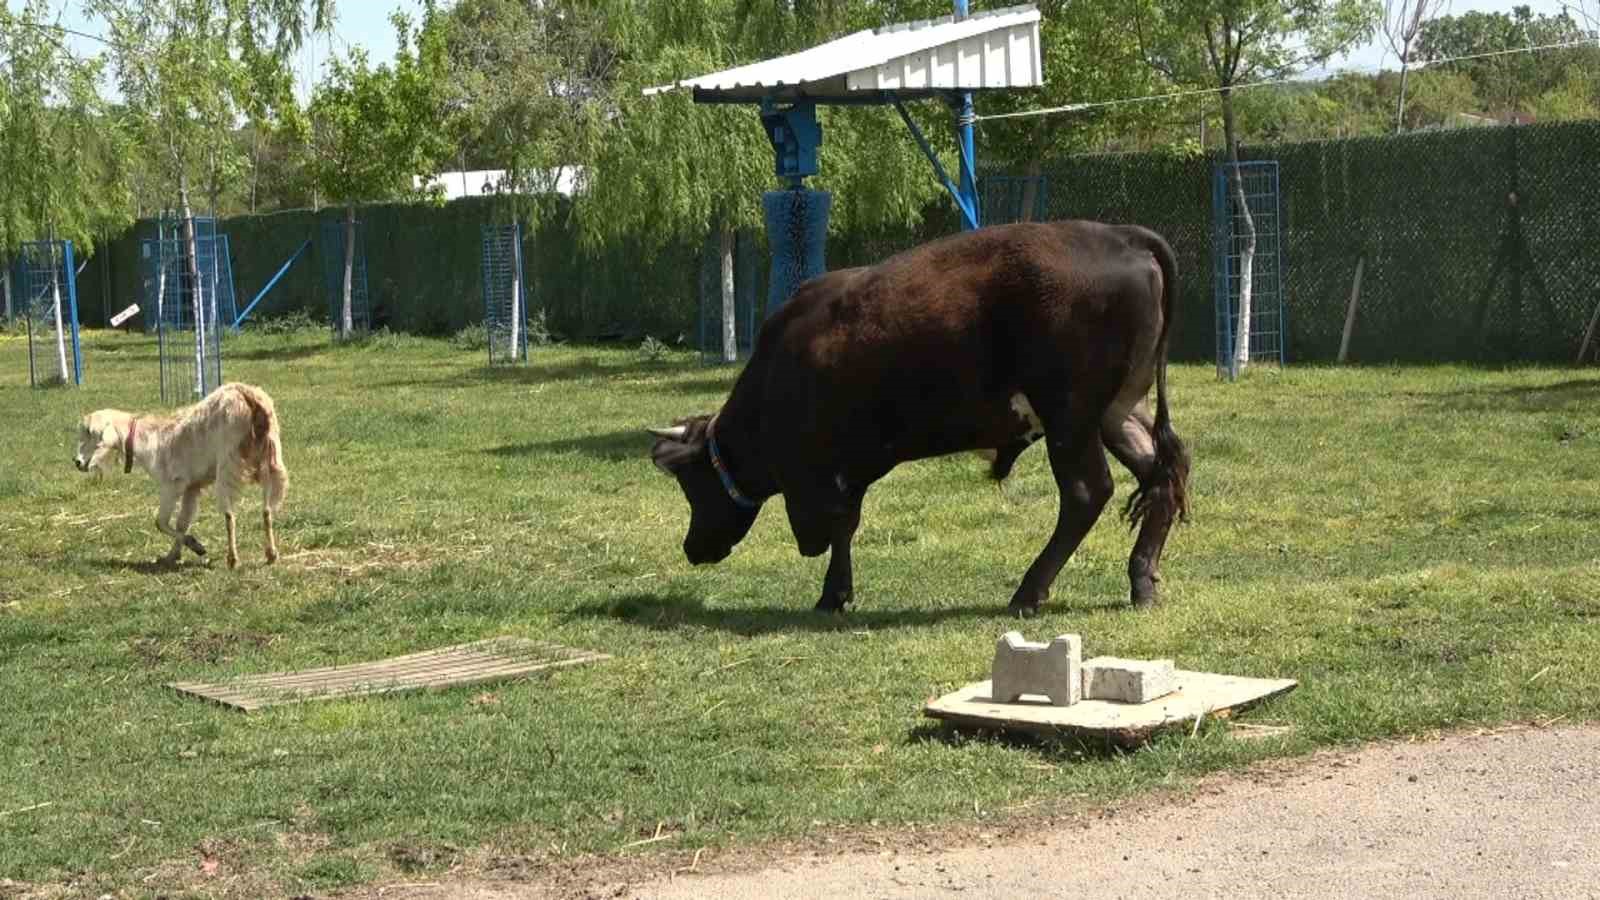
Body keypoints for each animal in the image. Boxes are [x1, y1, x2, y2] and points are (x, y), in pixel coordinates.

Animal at [75, 379, 291, 563]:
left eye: (90, 433)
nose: (77, 462)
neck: (152, 439)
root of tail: (248, 397)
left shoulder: (172, 484)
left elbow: (160, 522)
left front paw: (196, 545)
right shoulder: (192, 487)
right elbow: (182, 522)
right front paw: (173, 555)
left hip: (227, 466)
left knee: (230, 515)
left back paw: (232, 559)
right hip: (271, 459)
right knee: (267, 510)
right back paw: (271, 554)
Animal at [643, 220, 1184, 611]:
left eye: (691, 485)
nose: (692, 548)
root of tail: (1121, 235)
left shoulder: (820, 475)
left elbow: (835, 526)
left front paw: (831, 593)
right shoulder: (851, 468)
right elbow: (846, 527)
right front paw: (838, 593)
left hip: (1069, 416)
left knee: (1087, 493)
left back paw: (1029, 591)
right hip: (1117, 412)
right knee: (1164, 474)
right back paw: (1142, 579)